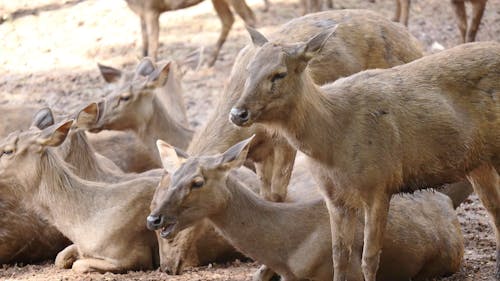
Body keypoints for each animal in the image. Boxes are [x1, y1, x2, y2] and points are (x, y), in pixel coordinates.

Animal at [125, 0, 258, 65]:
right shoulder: (143, 13)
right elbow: (145, 43)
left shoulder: (152, 10)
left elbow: (152, 47)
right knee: (229, 19)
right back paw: (210, 61)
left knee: (249, 17)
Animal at [230, 23, 500, 280]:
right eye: (249, 70)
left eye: (279, 74)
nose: (237, 113)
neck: (331, 142)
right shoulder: (334, 197)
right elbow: (339, 256)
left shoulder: (380, 184)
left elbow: (369, 259)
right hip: (479, 164)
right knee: (494, 208)